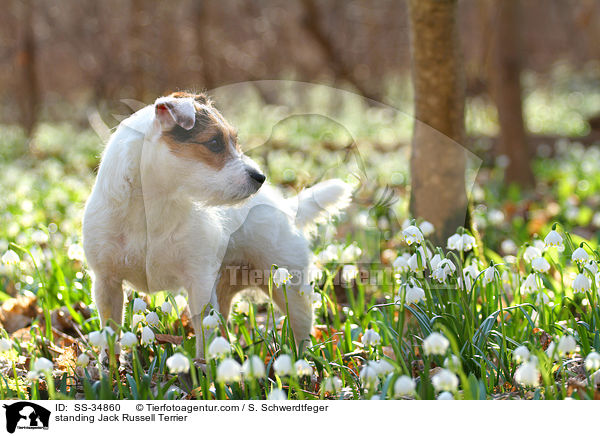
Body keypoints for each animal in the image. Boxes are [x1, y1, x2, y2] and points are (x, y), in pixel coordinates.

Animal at [82, 91, 350, 358]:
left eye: (234, 141)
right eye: (213, 143)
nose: (260, 177)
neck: (149, 211)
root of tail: (287, 208)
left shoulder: (199, 282)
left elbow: (204, 335)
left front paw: (203, 368)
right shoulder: (107, 284)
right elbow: (110, 335)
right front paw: (110, 366)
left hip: (288, 286)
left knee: (301, 327)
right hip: (225, 290)